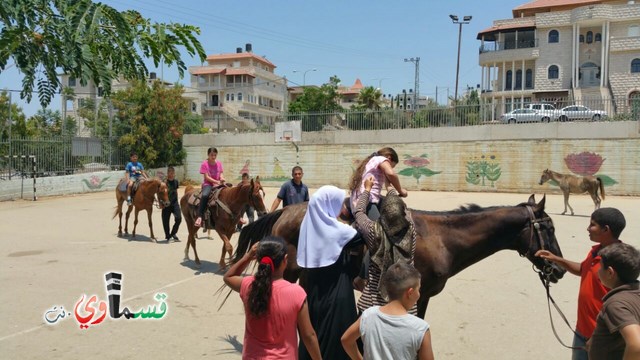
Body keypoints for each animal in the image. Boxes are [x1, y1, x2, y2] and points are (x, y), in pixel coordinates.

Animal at [234, 194, 564, 318]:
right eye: (548, 228)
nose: (559, 269)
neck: (441, 238)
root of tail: (286, 211)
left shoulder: (422, 295)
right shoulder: (418, 294)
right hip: (289, 272)